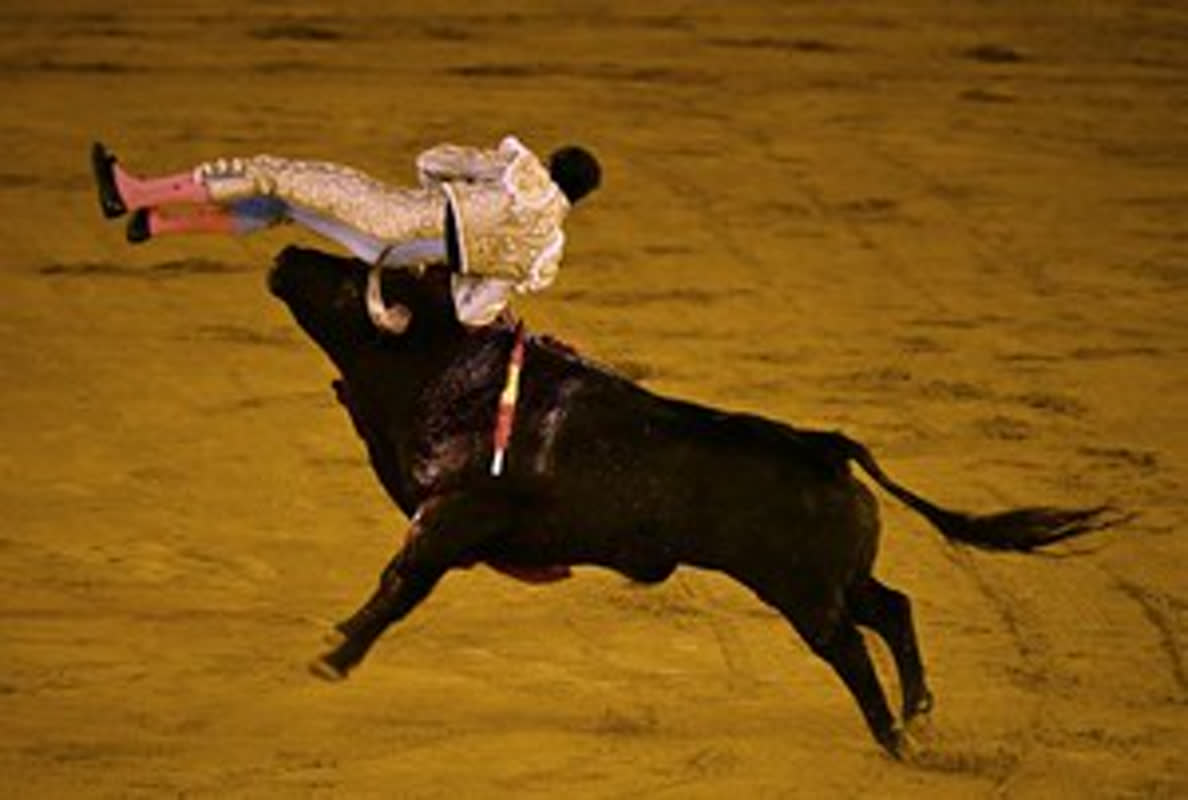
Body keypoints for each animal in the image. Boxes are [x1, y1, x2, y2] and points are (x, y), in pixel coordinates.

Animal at [266, 245, 1114, 758]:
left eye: (352, 280)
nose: (285, 255)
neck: (441, 365)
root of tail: (822, 444)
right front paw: (336, 642)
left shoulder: (448, 521)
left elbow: (397, 587)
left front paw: (332, 660)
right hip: (834, 576)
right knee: (892, 607)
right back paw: (917, 714)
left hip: (802, 591)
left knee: (849, 645)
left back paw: (891, 737)